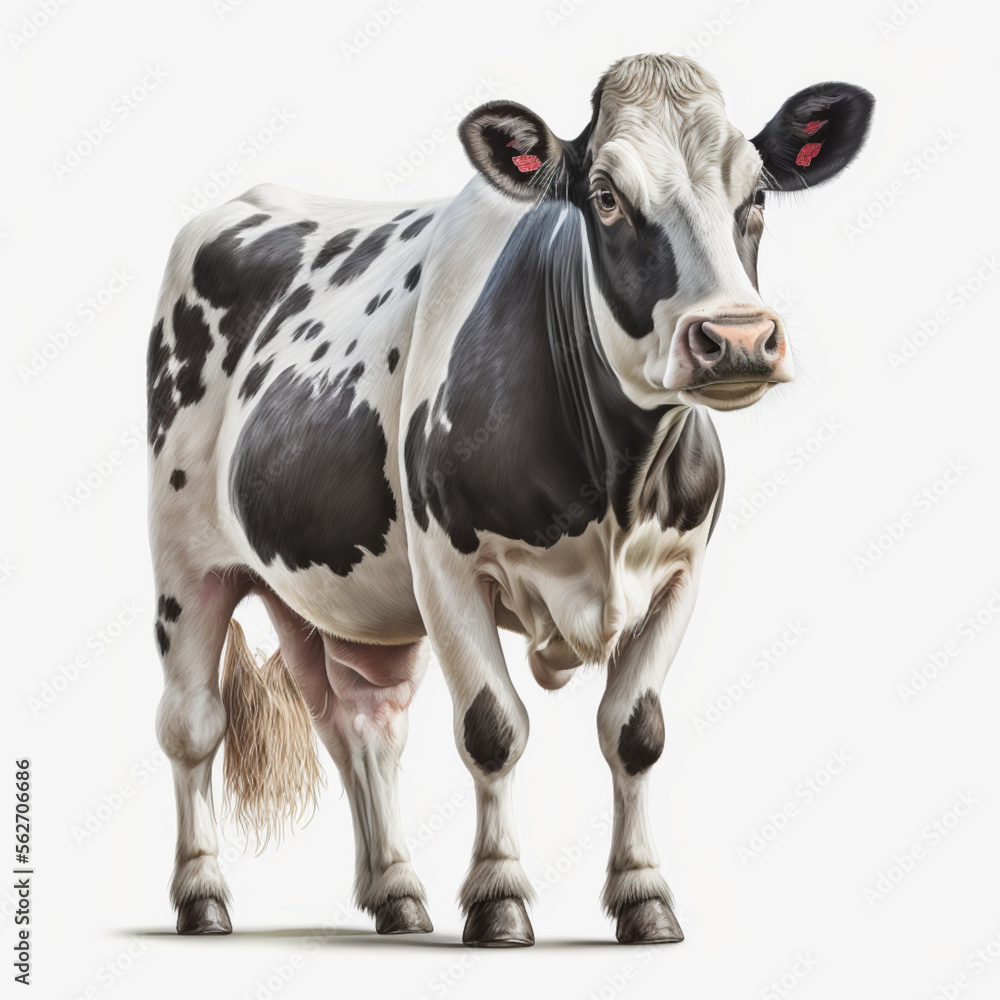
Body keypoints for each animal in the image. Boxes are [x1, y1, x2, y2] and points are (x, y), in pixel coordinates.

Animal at [148, 53, 872, 946]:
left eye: (758, 194)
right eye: (606, 195)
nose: (737, 336)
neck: (615, 484)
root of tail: (251, 200)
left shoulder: (681, 573)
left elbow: (636, 732)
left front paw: (645, 896)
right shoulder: (446, 571)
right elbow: (492, 730)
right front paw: (498, 897)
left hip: (331, 593)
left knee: (362, 726)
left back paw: (397, 893)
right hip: (185, 562)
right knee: (192, 726)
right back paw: (202, 895)